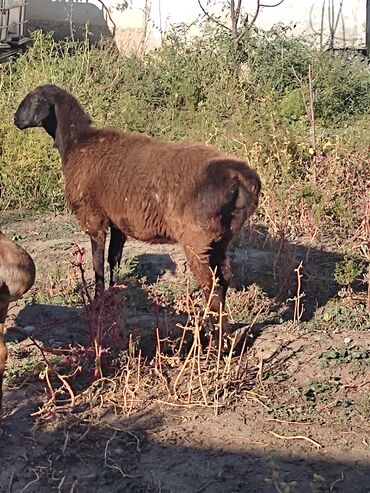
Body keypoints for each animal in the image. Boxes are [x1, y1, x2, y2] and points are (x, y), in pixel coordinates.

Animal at [13, 86, 260, 336]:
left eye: (34, 99)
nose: (16, 120)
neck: (77, 142)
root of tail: (241, 178)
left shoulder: (94, 218)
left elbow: (97, 264)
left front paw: (97, 303)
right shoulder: (118, 223)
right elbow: (113, 260)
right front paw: (113, 297)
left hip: (197, 239)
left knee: (211, 283)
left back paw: (216, 335)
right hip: (221, 238)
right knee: (224, 278)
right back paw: (225, 332)